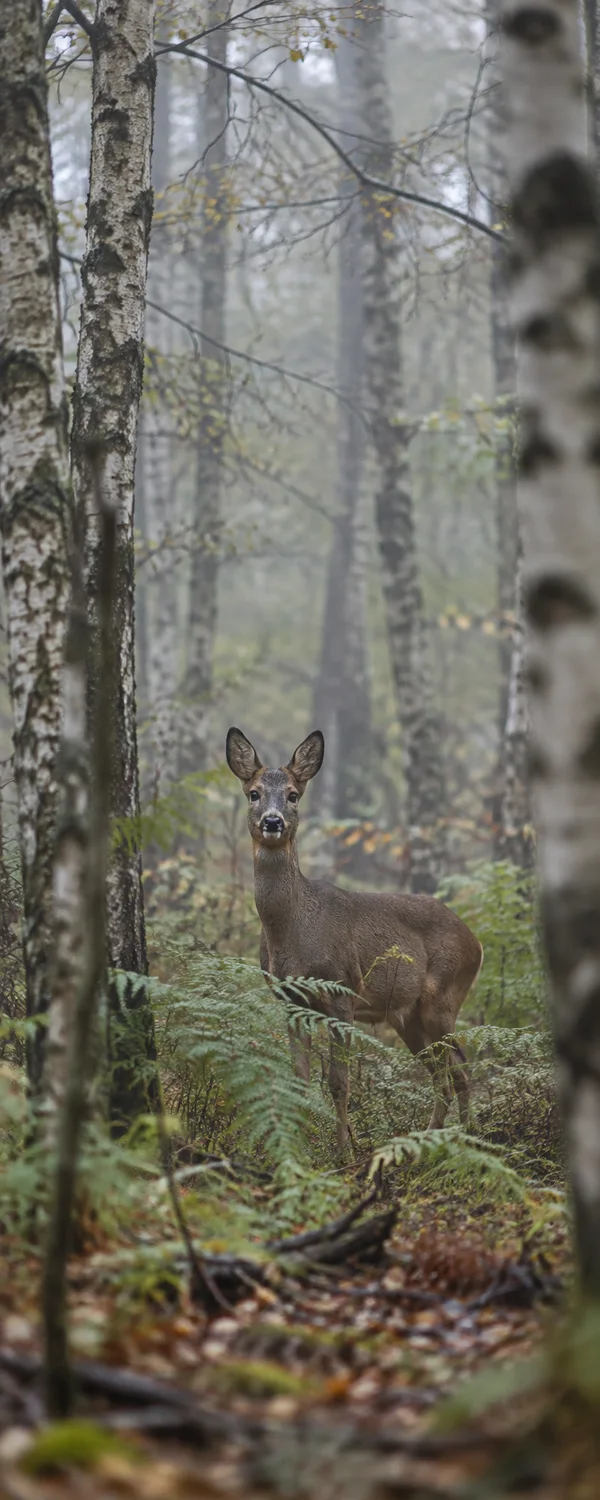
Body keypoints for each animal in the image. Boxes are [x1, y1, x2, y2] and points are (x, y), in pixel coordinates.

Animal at [226, 726, 483, 1152]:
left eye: (293, 794)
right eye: (254, 793)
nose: (273, 821)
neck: (293, 933)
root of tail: (476, 942)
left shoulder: (342, 990)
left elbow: (338, 1082)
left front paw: (343, 1151)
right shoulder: (290, 999)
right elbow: (300, 1077)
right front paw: (300, 1149)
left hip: (444, 995)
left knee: (461, 1068)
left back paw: (465, 1142)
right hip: (408, 1015)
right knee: (441, 1074)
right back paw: (430, 1141)